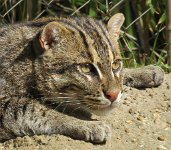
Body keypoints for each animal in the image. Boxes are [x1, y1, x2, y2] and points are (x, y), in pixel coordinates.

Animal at [0, 13, 164, 144]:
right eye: (86, 68)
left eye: (116, 65)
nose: (114, 95)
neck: (26, 65)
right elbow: (35, 110)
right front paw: (85, 124)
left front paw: (144, 71)